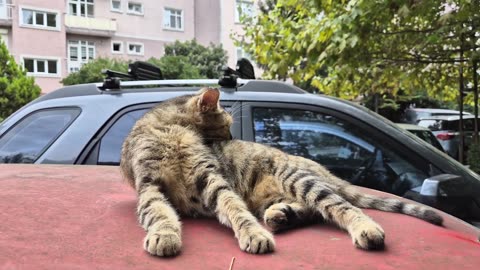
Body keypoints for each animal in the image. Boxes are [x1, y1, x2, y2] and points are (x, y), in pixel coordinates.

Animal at [121, 87, 442, 256]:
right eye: (226, 124)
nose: (231, 138)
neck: (173, 131)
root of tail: (321, 168)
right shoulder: (149, 184)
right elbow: (158, 212)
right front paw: (164, 233)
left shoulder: (210, 177)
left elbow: (234, 208)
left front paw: (252, 233)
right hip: (269, 195)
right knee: (313, 210)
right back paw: (282, 216)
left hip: (297, 179)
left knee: (340, 206)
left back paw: (365, 228)